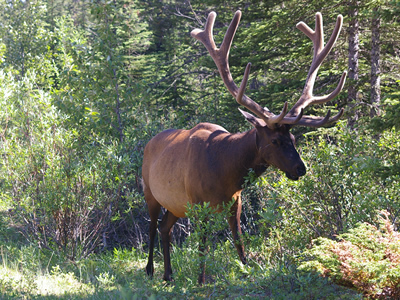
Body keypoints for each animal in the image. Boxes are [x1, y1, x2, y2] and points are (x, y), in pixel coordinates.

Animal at [143, 10, 346, 284]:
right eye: (275, 140)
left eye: (293, 139)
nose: (300, 169)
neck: (225, 173)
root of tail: (149, 142)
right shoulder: (198, 202)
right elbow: (203, 244)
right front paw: (201, 279)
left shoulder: (235, 201)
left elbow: (238, 239)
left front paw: (246, 270)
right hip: (150, 192)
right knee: (152, 228)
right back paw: (150, 270)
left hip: (175, 205)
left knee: (165, 227)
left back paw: (168, 274)